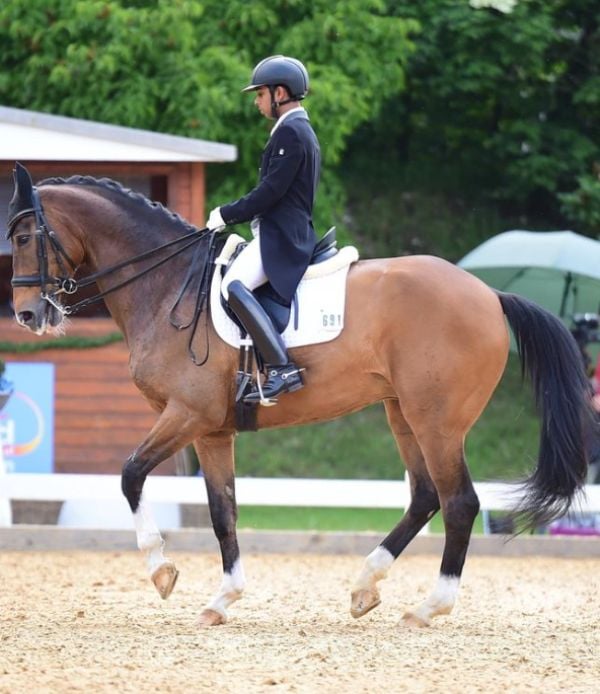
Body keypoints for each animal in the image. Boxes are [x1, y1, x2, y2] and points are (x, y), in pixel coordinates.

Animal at [7, 162, 593, 628]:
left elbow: (130, 475)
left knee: (460, 502)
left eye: (23, 238)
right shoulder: (211, 429)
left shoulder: (186, 414)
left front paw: (162, 570)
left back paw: (429, 606)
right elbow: (223, 511)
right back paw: (364, 585)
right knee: (426, 496)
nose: (28, 315)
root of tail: (490, 295)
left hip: (437, 420)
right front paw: (223, 598)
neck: (166, 284)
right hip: (402, 413)